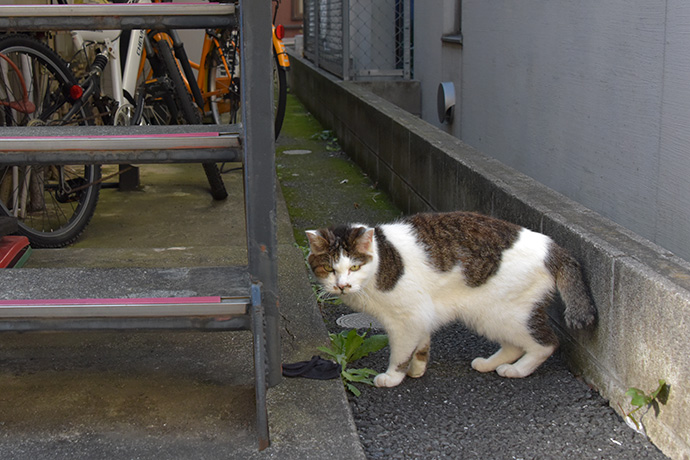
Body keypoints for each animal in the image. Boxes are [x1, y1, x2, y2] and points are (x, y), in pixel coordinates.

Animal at [304, 212, 592, 388]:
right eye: (329, 269)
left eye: (353, 267)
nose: (342, 286)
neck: (382, 261)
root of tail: (554, 249)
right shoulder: (421, 314)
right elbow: (421, 344)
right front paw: (417, 369)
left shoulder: (406, 318)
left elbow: (400, 352)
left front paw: (393, 376)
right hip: (487, 316)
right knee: (514, 345)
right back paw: (489, 364)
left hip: (507, 314)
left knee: (545, 344)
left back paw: (517, 370)